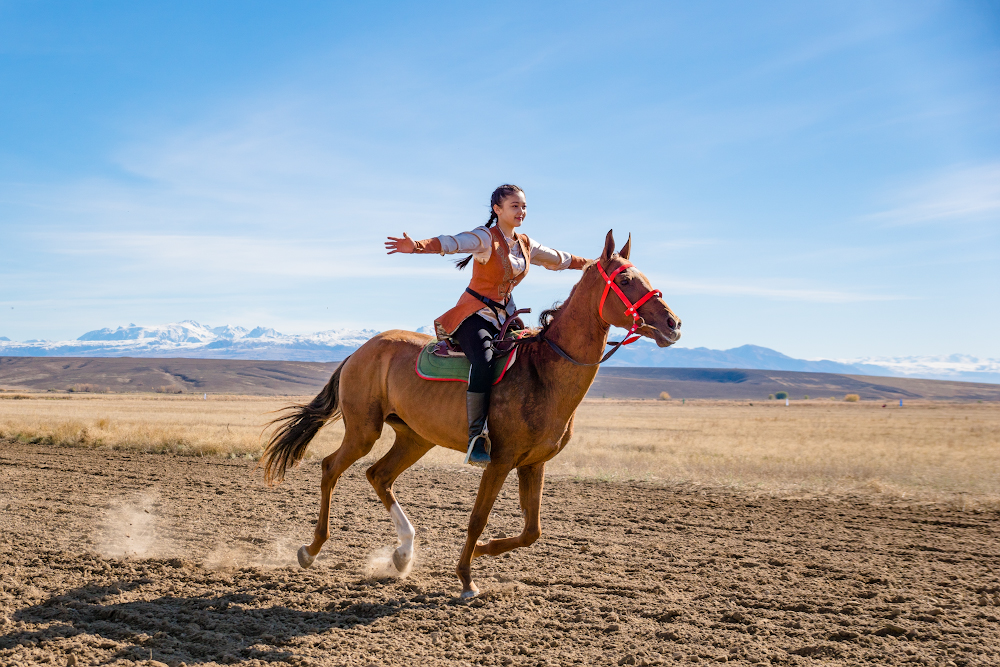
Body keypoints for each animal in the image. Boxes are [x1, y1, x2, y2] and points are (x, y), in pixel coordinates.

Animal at [260, 231, 680, 600]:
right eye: (625, 279)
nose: (673, 323)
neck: (544, 371)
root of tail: (361, 350)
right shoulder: (499, 459)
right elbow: (478, 517)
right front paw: (465, 578)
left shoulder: (533, 464)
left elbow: (533, 530)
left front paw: (481, 552)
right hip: (364, 430)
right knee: (331, 468)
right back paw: (312, 549)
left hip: (415, 437)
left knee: (378, 475)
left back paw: (403, 554)